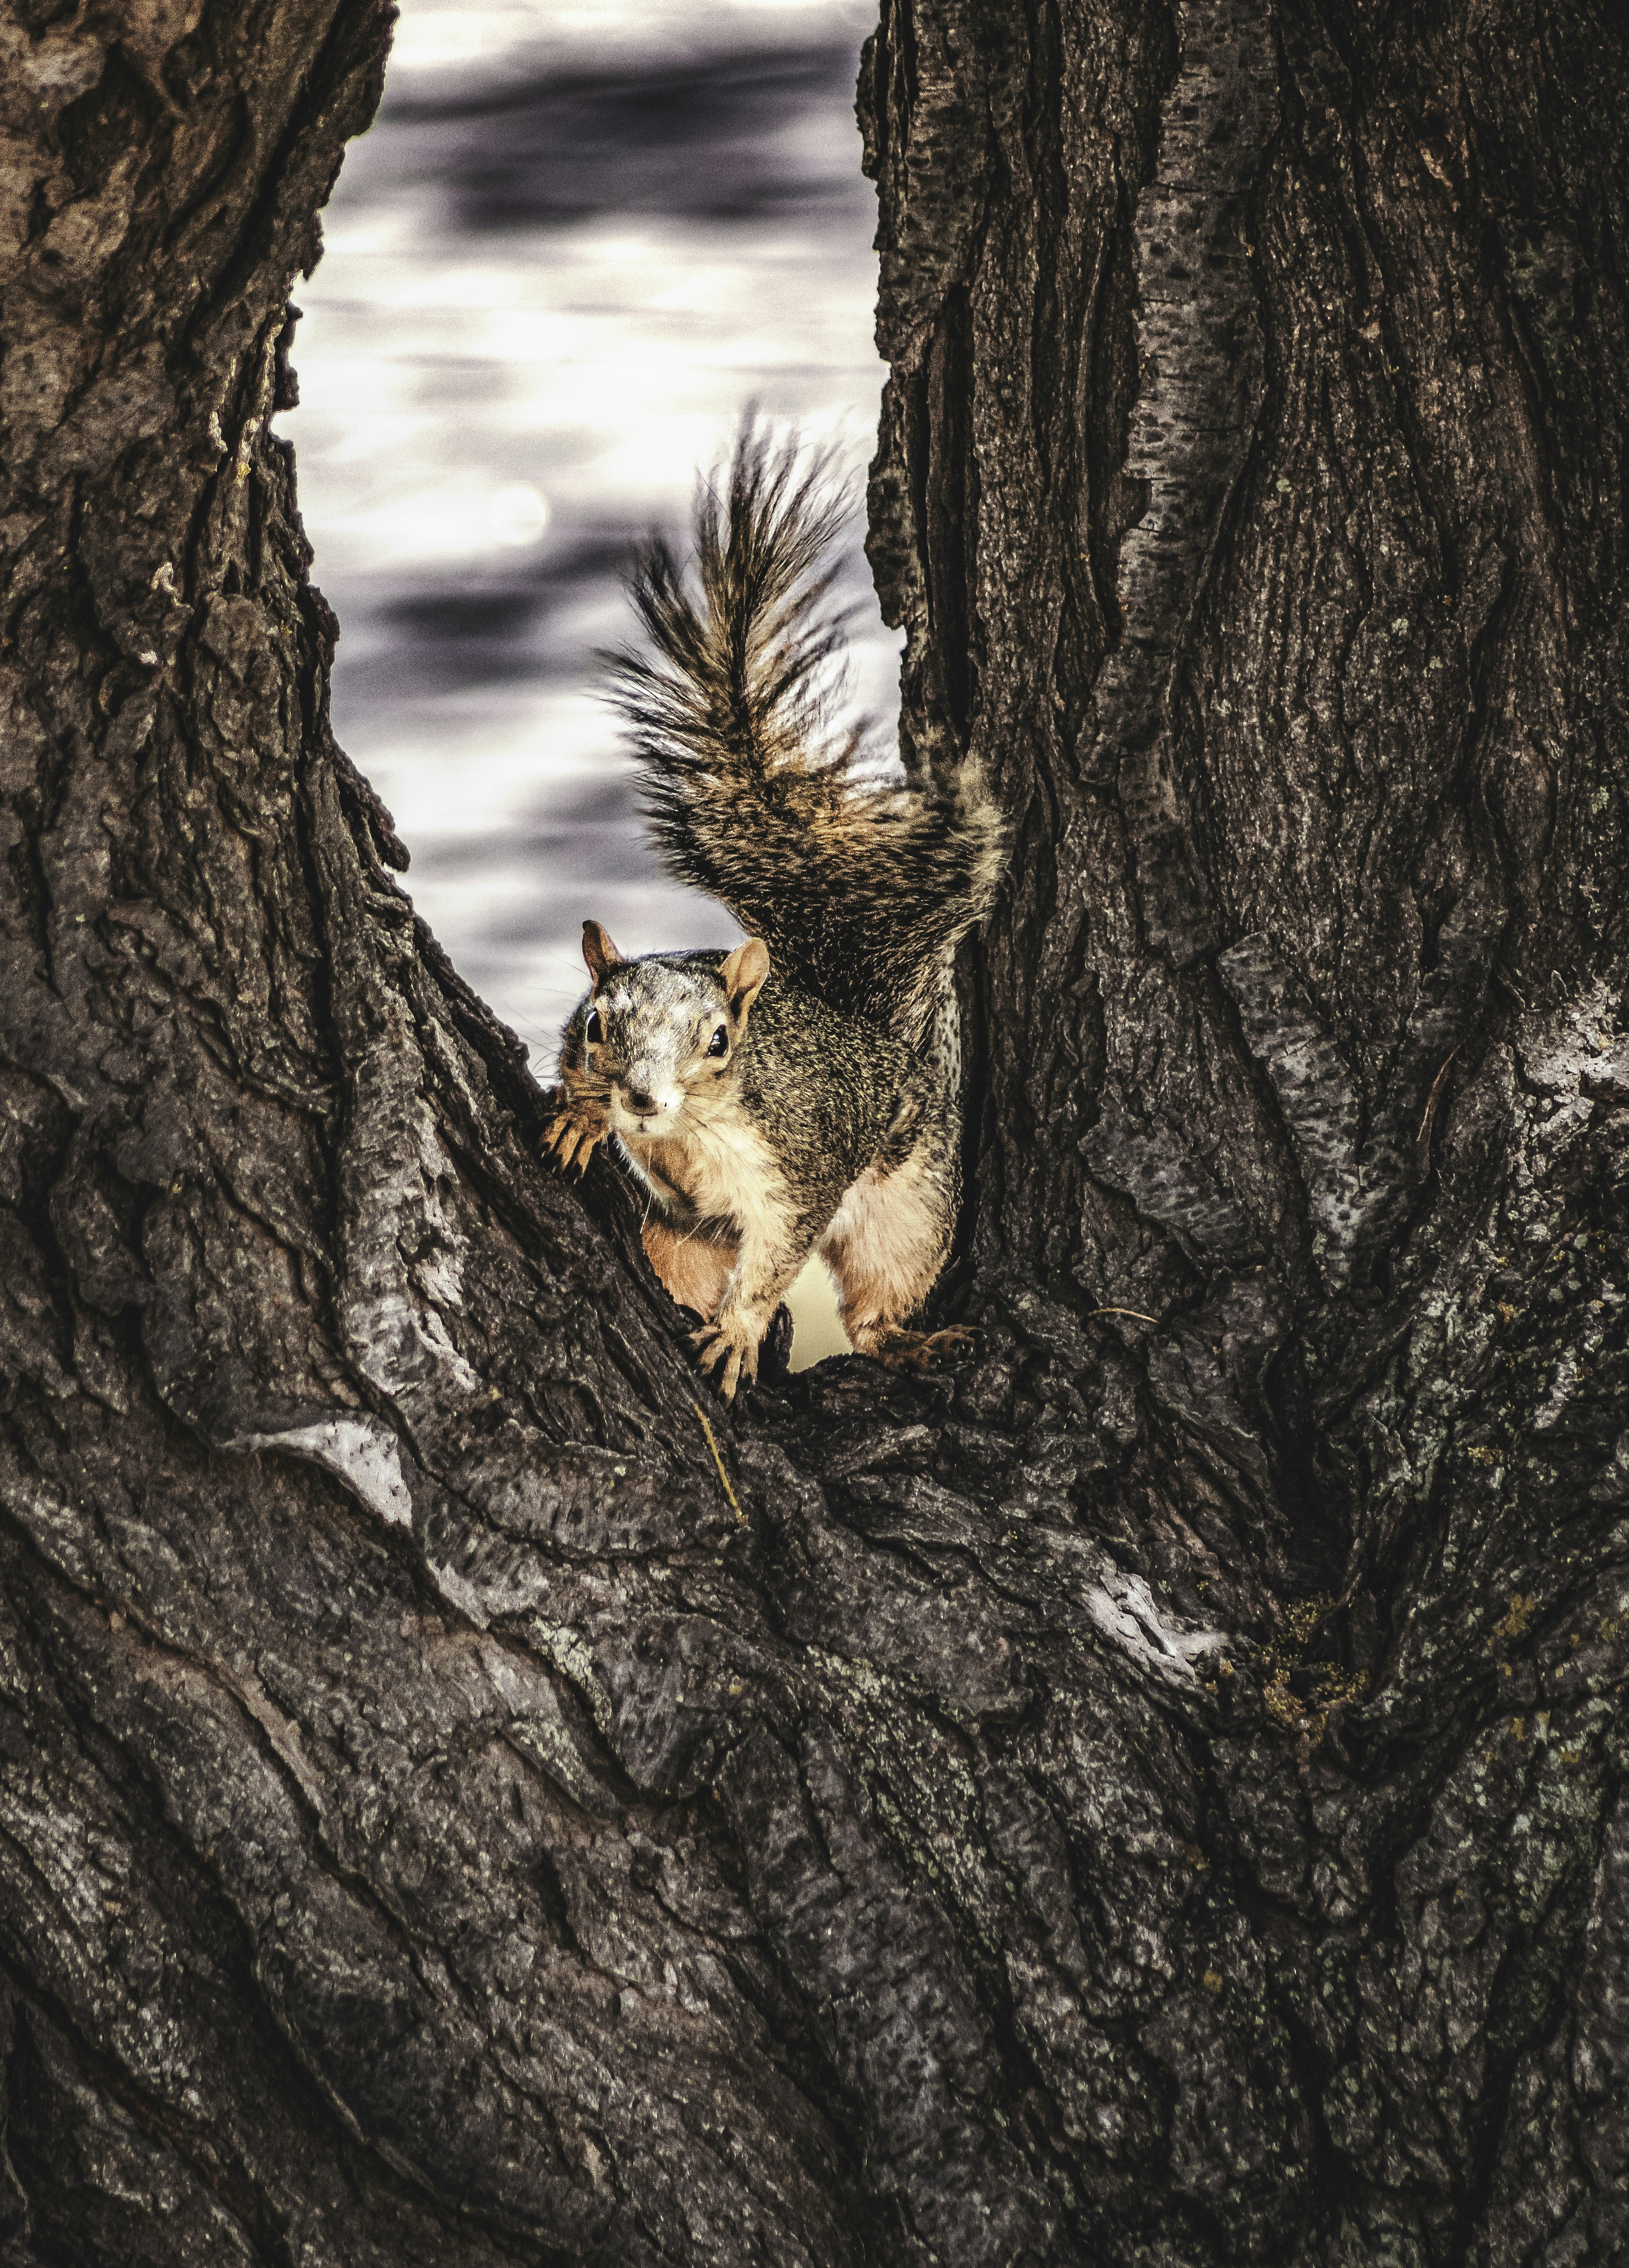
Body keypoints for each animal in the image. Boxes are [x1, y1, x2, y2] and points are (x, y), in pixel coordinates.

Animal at [544, 427, 1006, 1398]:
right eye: (598, 1024)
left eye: (720, 1040)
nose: (639, 1097)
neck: (689, 1132)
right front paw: (580, 1114)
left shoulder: (800, 1164)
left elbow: (775, 1257)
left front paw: (736, 1332)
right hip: (676, 1241)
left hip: (908, 1208)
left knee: (874, 1302)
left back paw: (903, 1341)